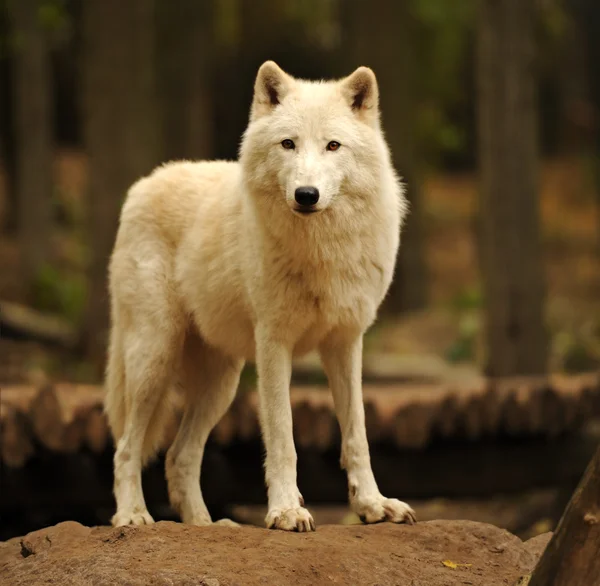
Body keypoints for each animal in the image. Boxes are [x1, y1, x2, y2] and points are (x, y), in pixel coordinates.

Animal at [105, 60, 414, 528]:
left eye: (333, 146)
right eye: (288, 144)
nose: (306, 195)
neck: (319, 250)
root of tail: (144, 183)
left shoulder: (346, 342)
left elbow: (357, 433)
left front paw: (373, 505)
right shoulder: (274, 343)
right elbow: (283, 437)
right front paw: (286, 511)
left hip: (221, 383)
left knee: (178, 456)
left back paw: (208, 526)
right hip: (154, 359)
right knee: (126, 448)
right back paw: (133, 516)